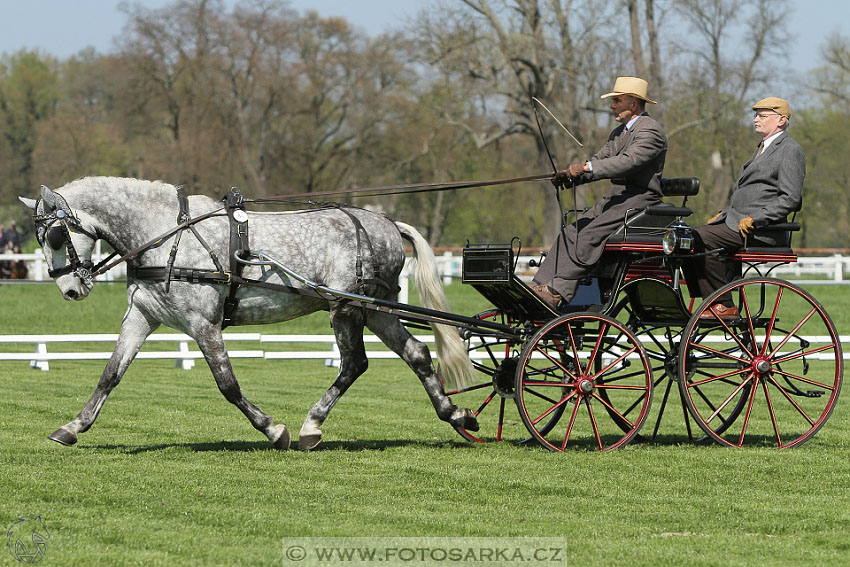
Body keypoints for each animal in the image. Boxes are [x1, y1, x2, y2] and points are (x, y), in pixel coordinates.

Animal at [19, 178, 474, 452]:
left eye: (55, 235)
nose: (70, 289)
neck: (165, 233)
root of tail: (384, 222)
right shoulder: (142, 317)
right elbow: (110, 375)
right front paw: (73, 427)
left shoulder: (204, 325)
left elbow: (228, 385)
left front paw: (274, 430)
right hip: (376, 310)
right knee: (416, 354)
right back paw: (456, 415)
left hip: (345, 308)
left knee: (354, 364)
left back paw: (310, 427)